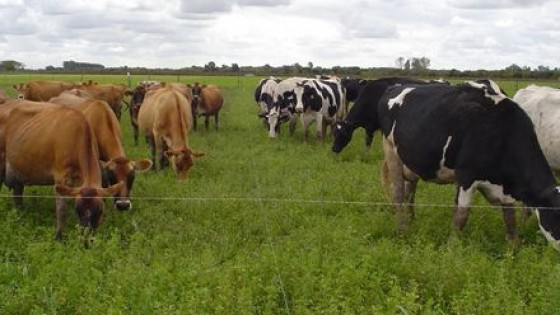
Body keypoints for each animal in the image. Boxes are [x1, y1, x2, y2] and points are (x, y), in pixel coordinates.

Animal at [0, 106, 123, 239]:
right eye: (77, 210)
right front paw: (59, 236)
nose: (86, 239)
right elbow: (62, 210)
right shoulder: (61, 178)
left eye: (100, 210)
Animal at [376, 80, 560, 251]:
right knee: (398, 194)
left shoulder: (504, 187)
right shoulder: (466, 176)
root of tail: (396, 86)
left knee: (409, 193)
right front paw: (452, 247)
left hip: (411, 164)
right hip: (391, 152)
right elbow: (461, 216)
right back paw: (402, 230)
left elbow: (510, 218)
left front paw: (514, 247)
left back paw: (412, 220)